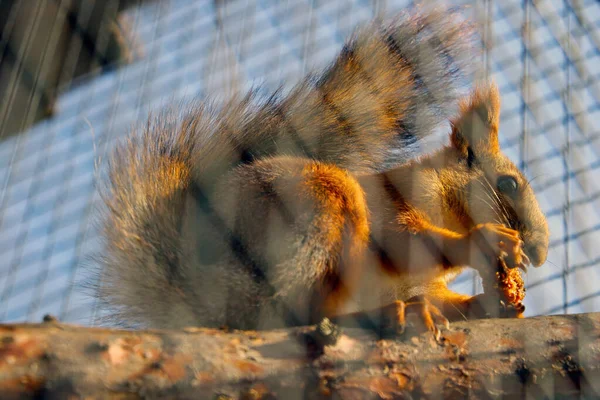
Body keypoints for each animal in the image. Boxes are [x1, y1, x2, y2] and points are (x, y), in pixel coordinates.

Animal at [94, 7, 548, 338]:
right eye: (508, 183)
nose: (540, 253)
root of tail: (195, 296)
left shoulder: (422, 285)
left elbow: (444, 301)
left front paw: (496, 303)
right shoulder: (392, 197)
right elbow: (404, 239)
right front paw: (484, 241)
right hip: (316, 205)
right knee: (298, 313)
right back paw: (383, 317)